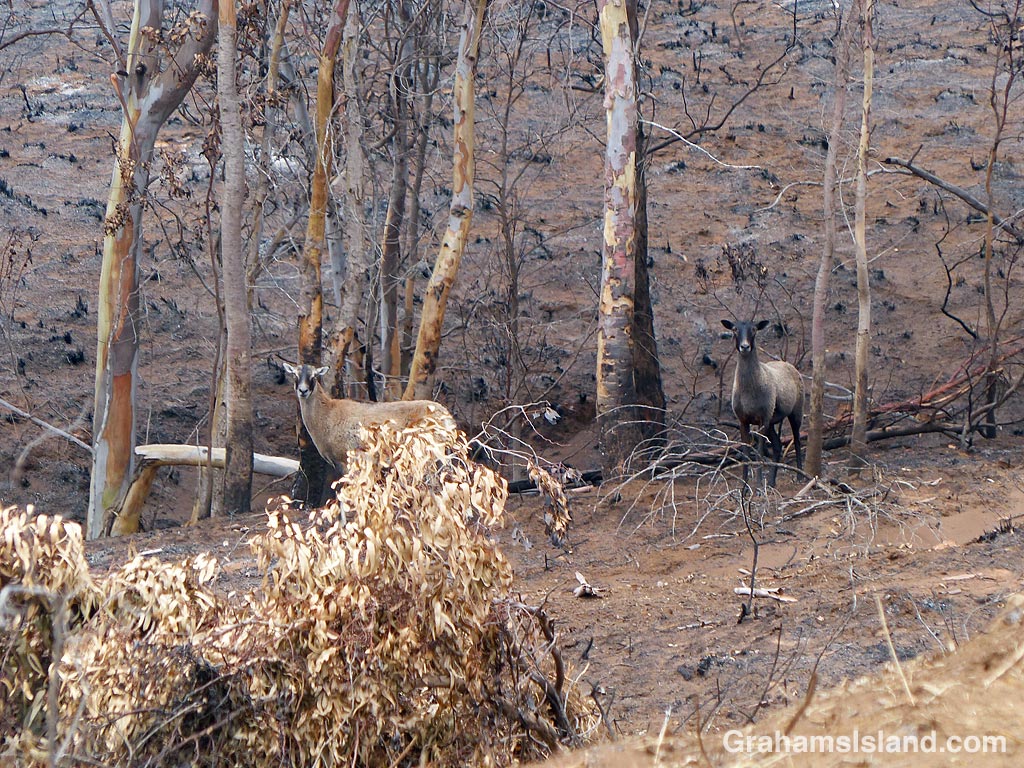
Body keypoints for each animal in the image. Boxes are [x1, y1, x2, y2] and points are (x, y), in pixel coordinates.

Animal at [281, 363, 456, 475]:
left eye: (314, 376)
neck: (327, 415)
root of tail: (448, 418)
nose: (303, 391)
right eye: (294, 374)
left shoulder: (346, 458)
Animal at [721, 319, 804, 487]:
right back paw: (771, 482)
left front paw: (758, 485)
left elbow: (759, 452)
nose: (745, 347)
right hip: (771, 420)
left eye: (754, 329)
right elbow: (746, 452)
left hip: (795, 411)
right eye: (734, 329)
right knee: (778, 445)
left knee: (797, 439)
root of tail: (790, 366)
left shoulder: (762, 419)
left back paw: (799, 476)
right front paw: (744, 486)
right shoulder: (743, 420)